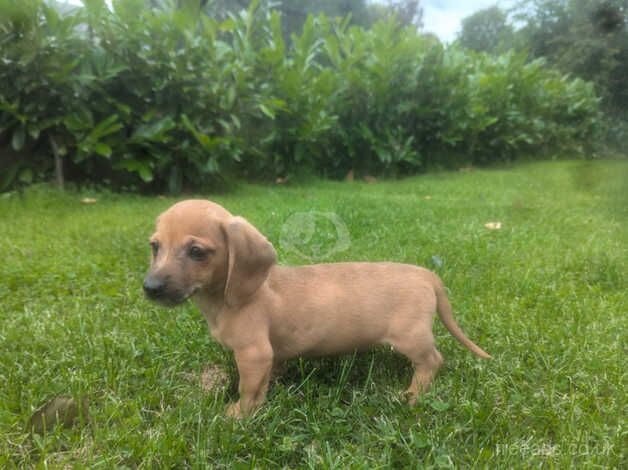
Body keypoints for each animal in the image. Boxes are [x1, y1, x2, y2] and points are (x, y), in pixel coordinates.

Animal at [146, 200, 490, 416]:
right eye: (154, 246)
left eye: (197, 252)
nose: (150, 288)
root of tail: (426, 274)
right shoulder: (269, 356)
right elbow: (267, 379)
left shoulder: (253, 354)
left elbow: (248, 390)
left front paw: (239, 415)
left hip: (412, 338)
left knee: (432, 360)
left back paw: (414, 394)